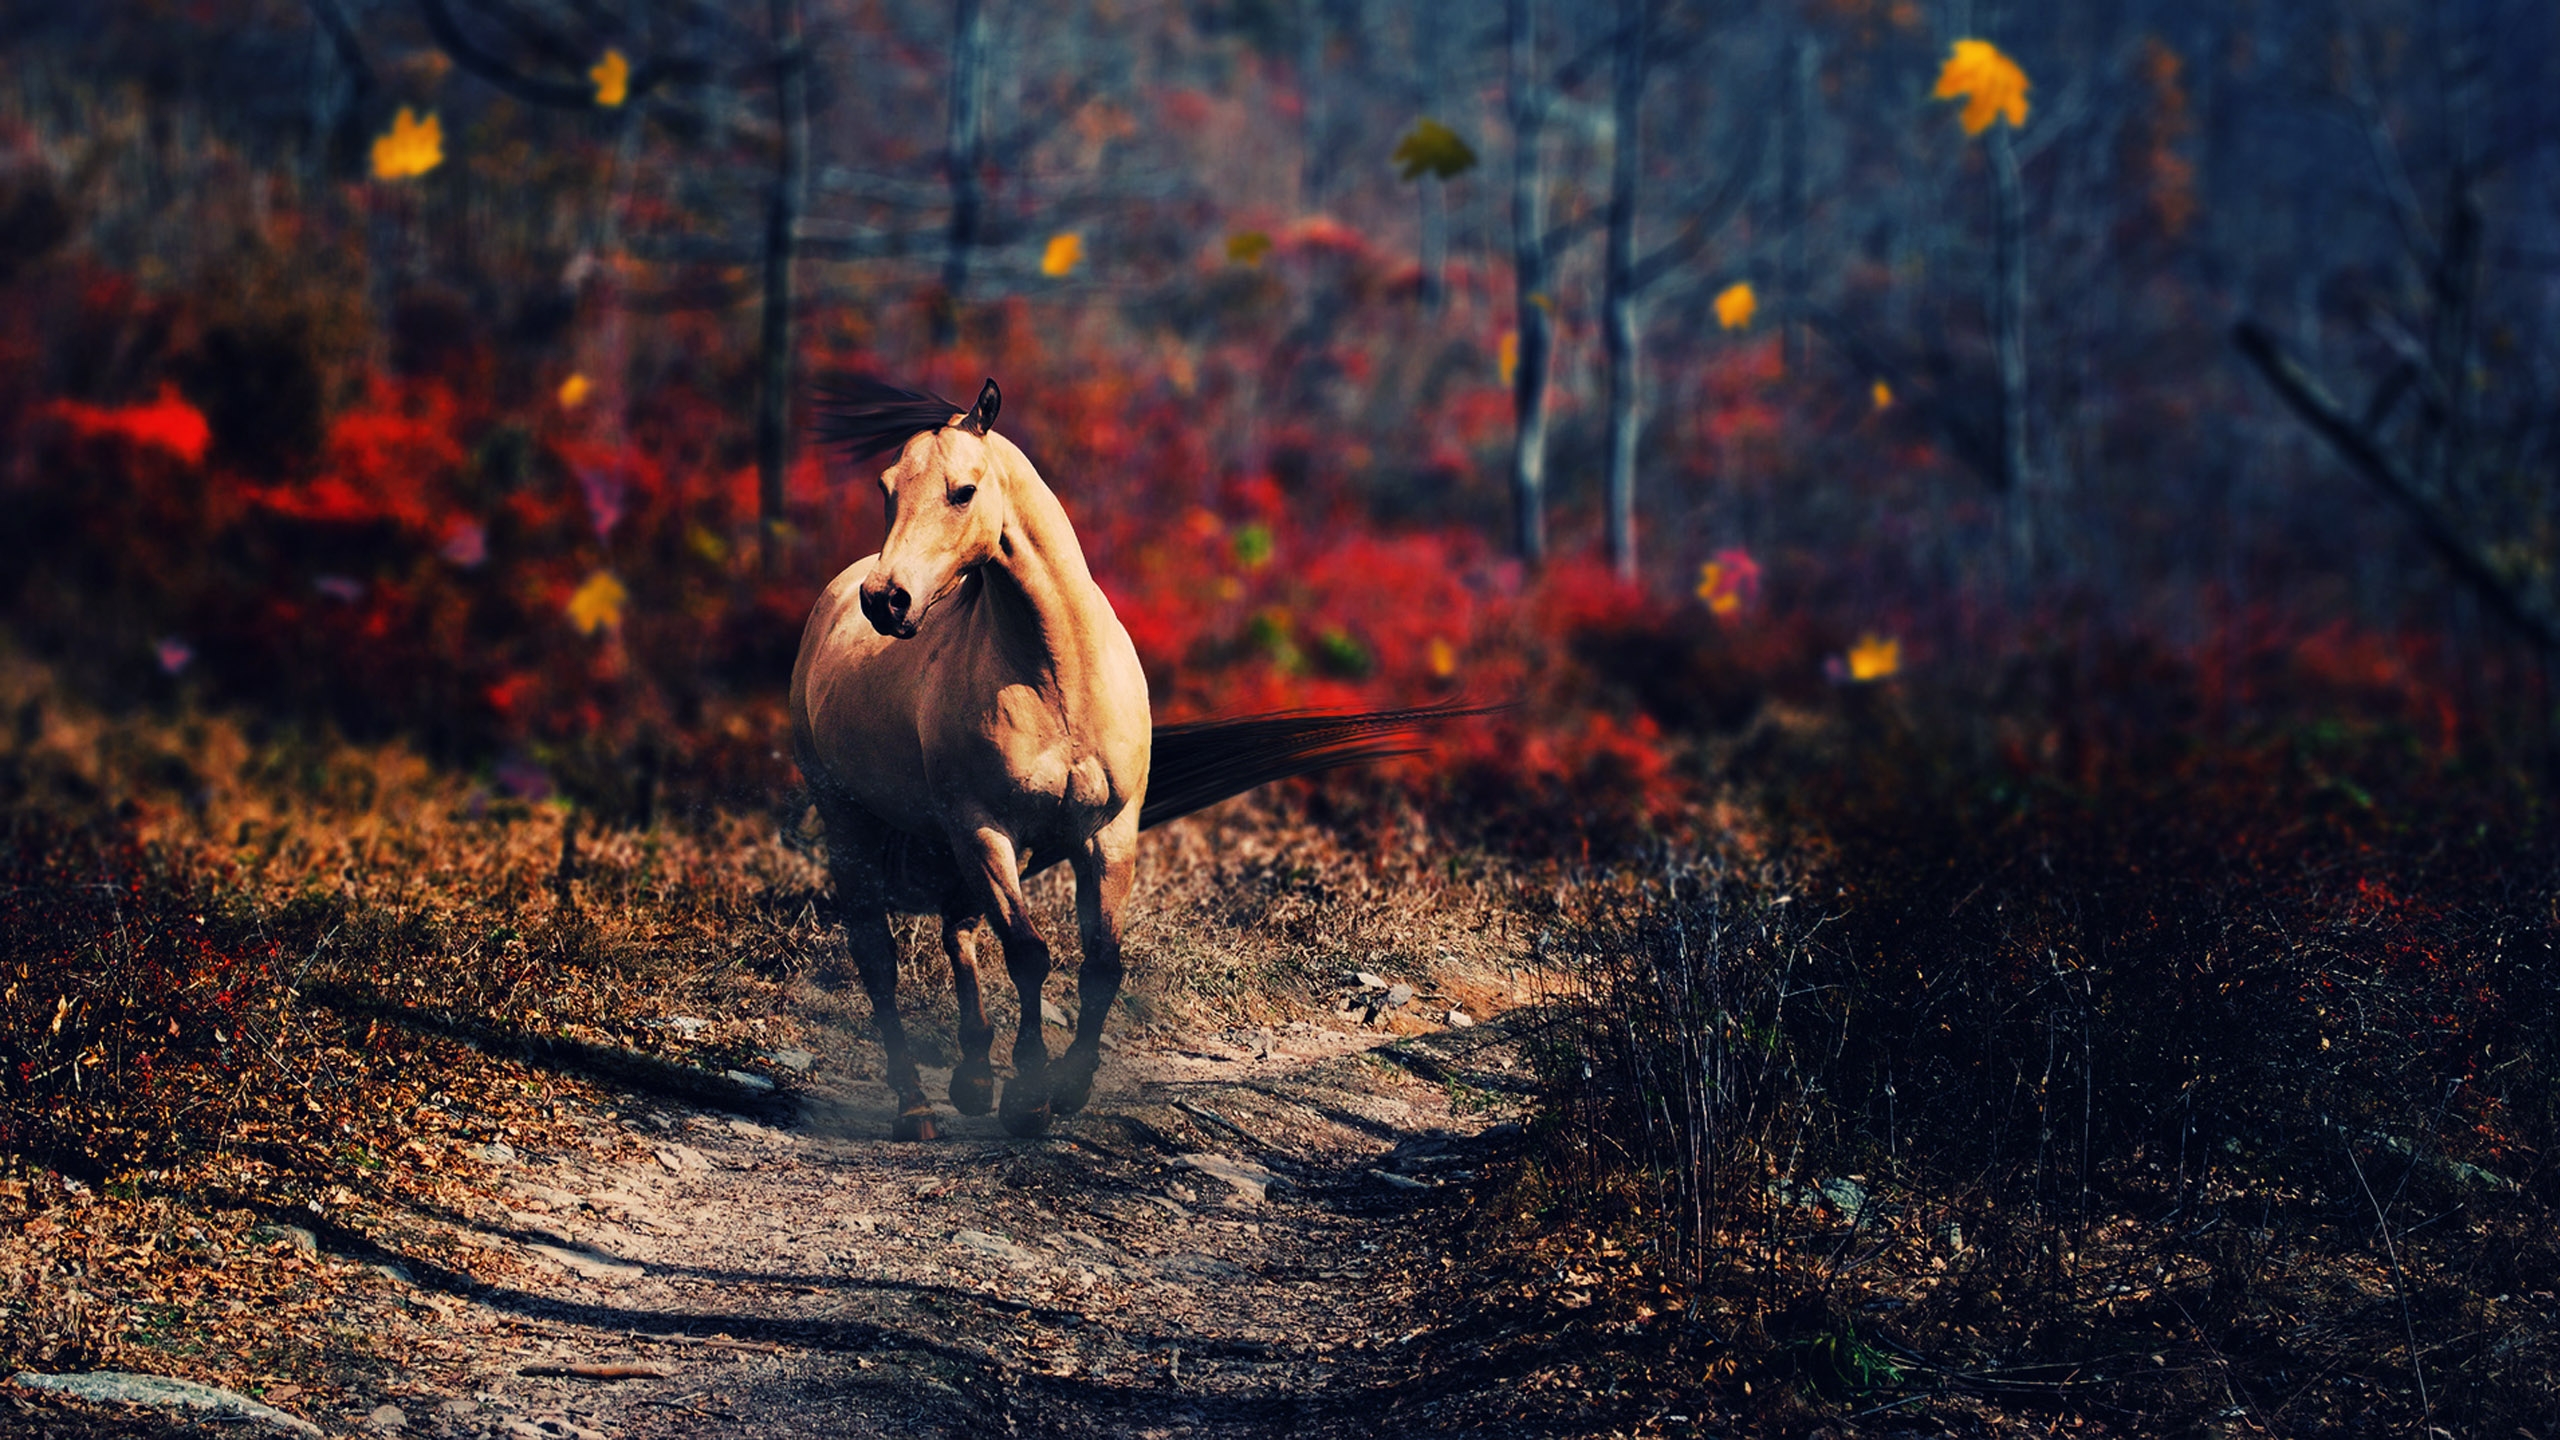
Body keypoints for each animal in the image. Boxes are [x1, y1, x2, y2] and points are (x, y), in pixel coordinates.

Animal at [791, 375, 1477, 1140]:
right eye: (887, 489)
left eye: (962, 491)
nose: (886, 601)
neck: (1056, 675)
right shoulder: (986, 828)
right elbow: (1028, 953)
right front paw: (1029, 1096)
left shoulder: (1107, 832)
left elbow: (1102, 962)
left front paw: (1067, 1086)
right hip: (856, 821)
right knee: (878, 957)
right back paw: (915, 1107)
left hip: (951, 839)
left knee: (957, 930)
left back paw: (971, 1080)